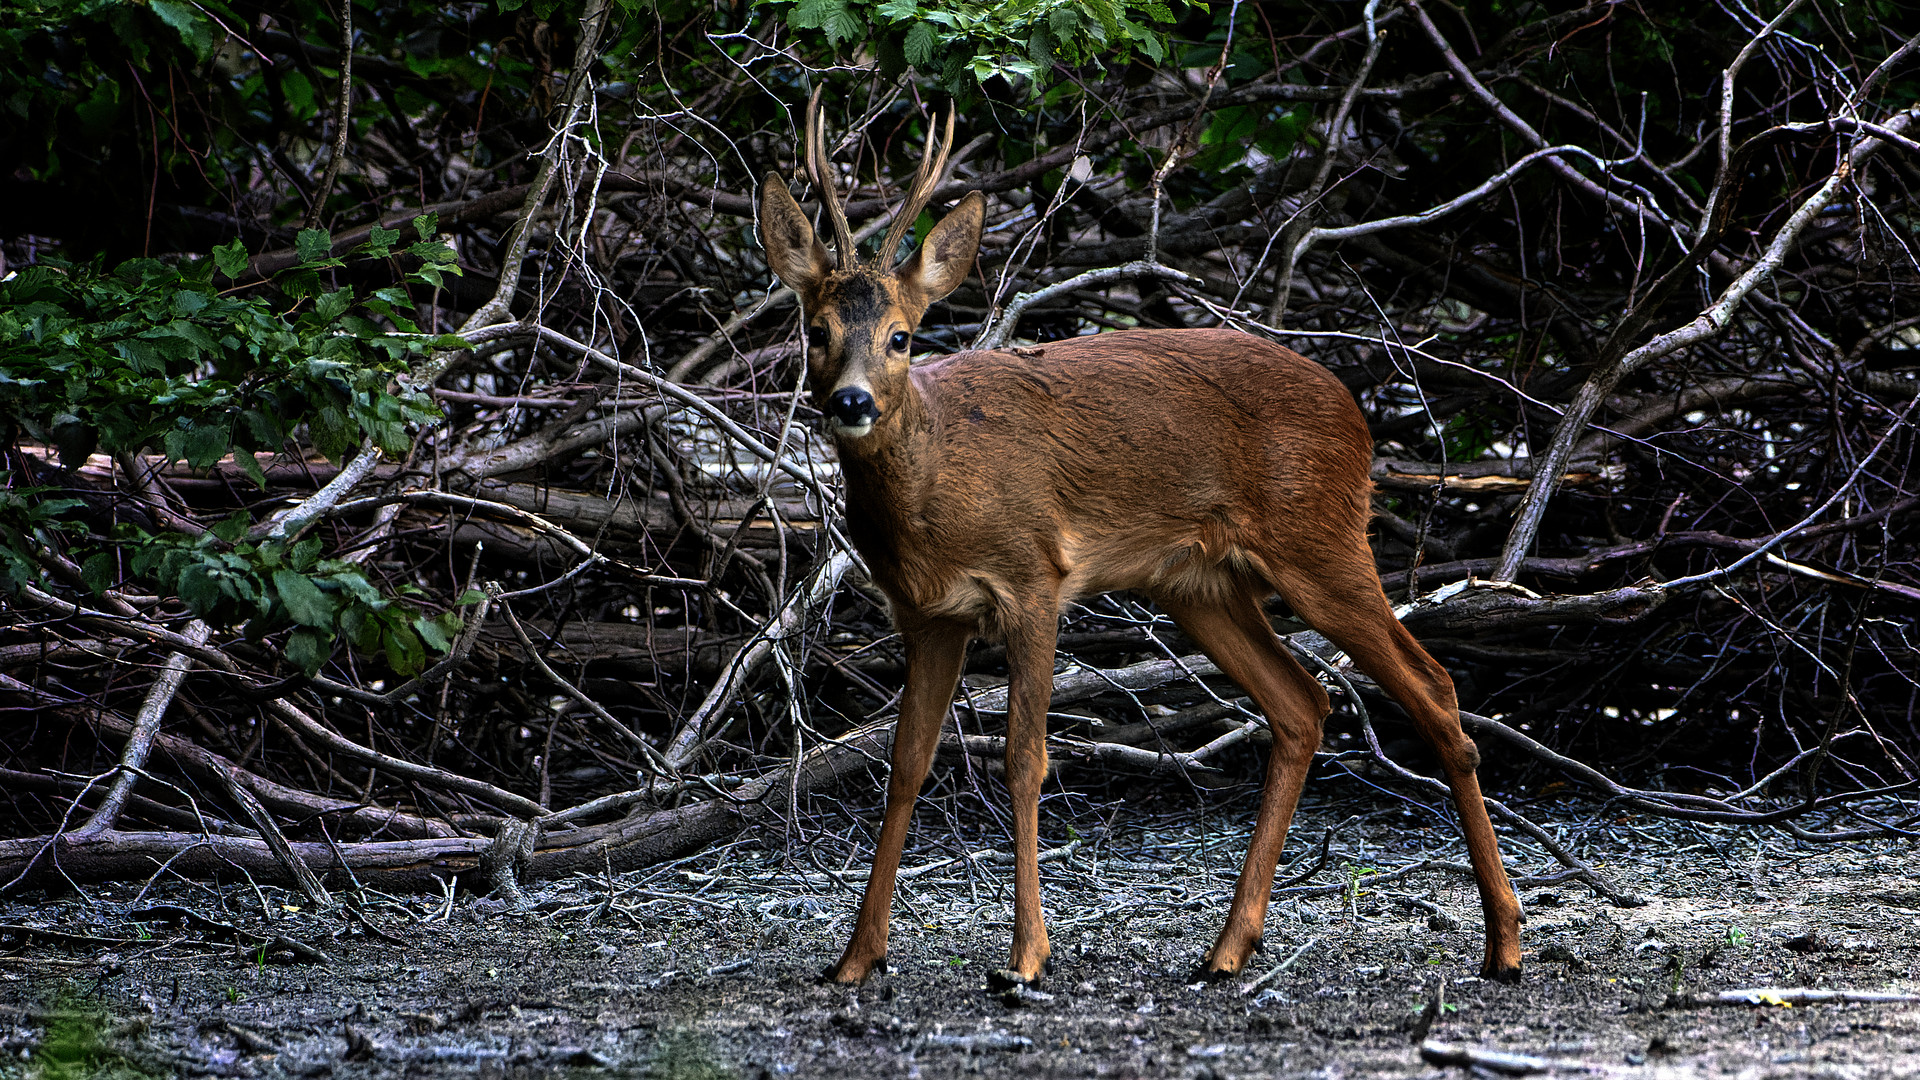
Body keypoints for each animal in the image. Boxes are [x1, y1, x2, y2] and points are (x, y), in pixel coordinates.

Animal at [756, 92, 1520, 983]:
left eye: (903, 336)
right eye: (815, 330)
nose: (852, 402)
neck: (938, 482)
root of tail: (1359, 416)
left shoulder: (1035, 577)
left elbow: (1025, 760)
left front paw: (1027, 956)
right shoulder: (927, 616)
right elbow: (906, 765)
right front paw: (857, 957)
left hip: (1319, 539)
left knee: (1432, 686)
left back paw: (1505, 942)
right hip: (1198, 585)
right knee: (1302, 703)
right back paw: (1228, 948)